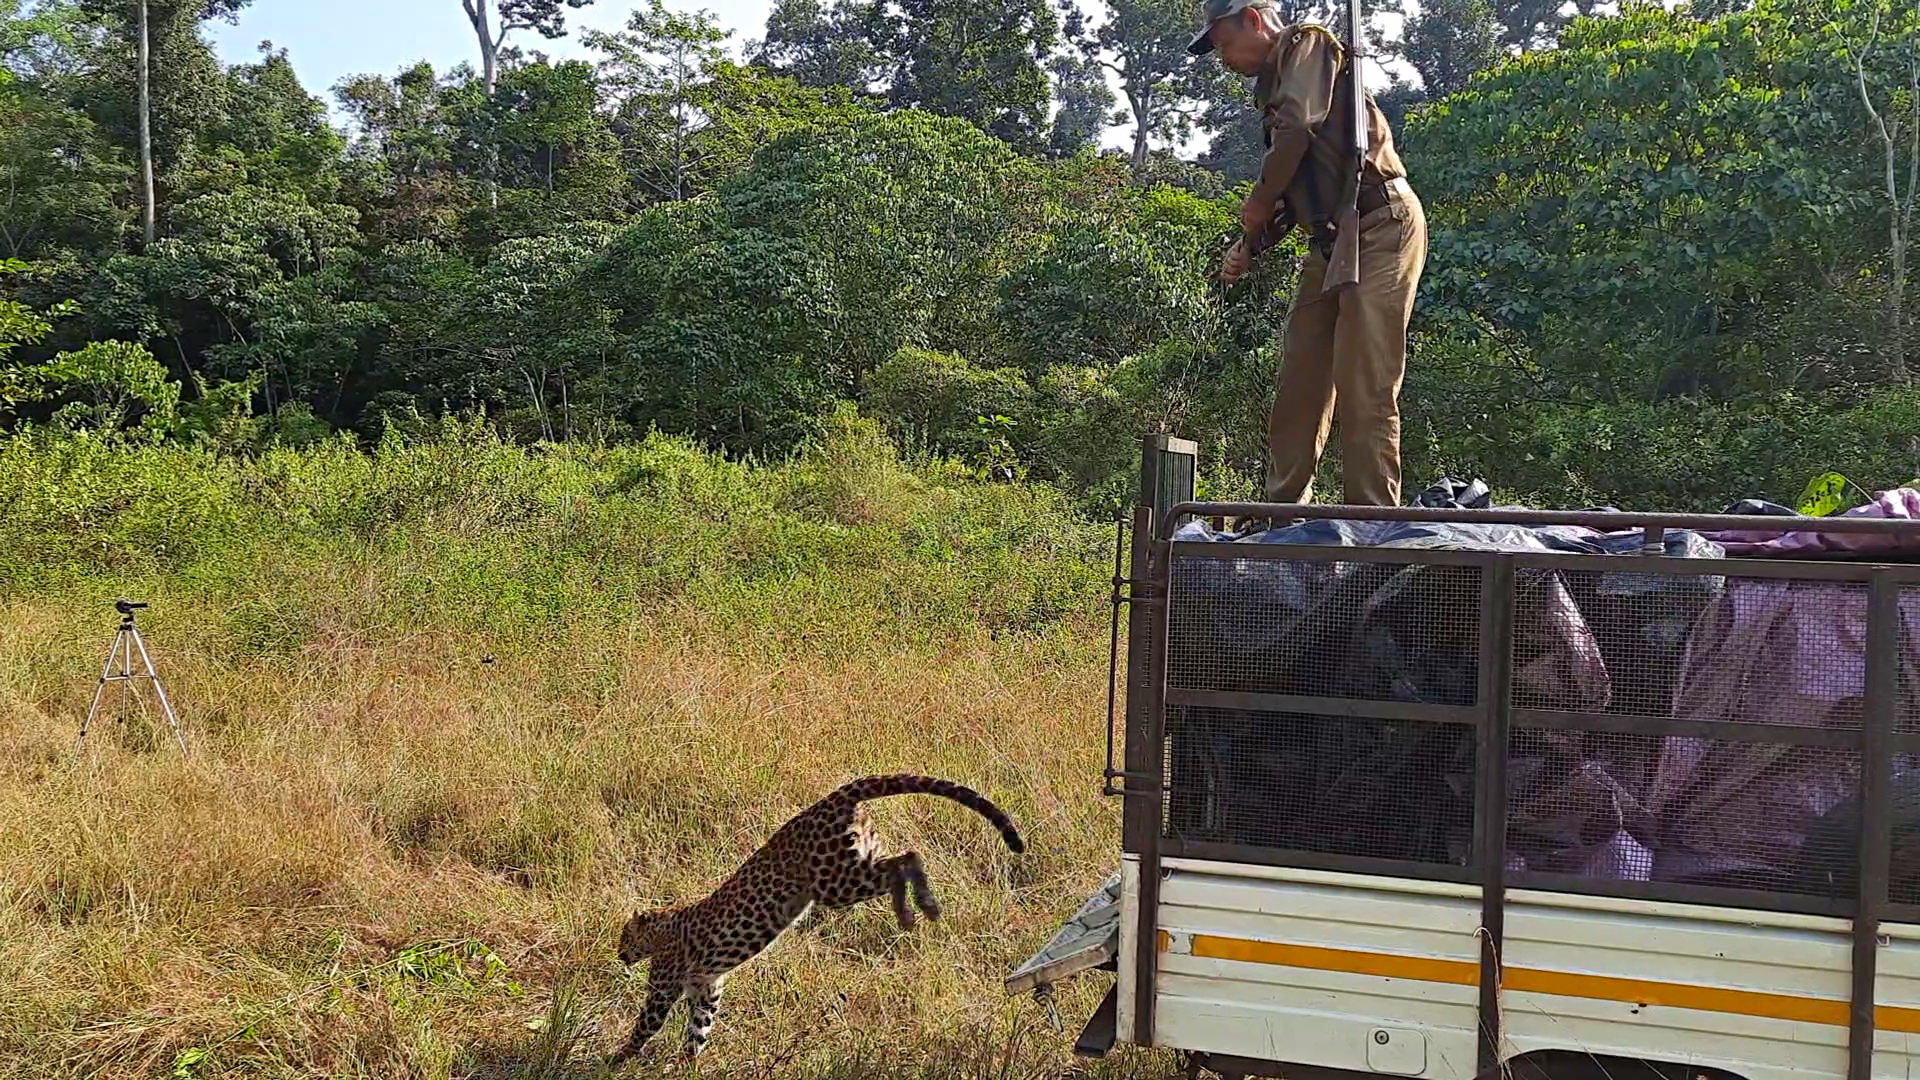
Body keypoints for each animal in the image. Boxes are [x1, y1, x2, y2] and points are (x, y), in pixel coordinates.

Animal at [602, 768, 1021, 1060]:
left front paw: (618, 1060)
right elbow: (699, 1030)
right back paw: (917, 908)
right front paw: (688, 1062)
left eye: (624, 936)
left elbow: (644, 1027)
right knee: (904, 858)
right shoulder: (707, 990)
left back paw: (915, 909)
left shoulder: (664, 989)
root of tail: (833, 798)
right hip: (858, 859)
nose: (620, 954)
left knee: (905, 861)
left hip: (834, 881)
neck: (664, 925)